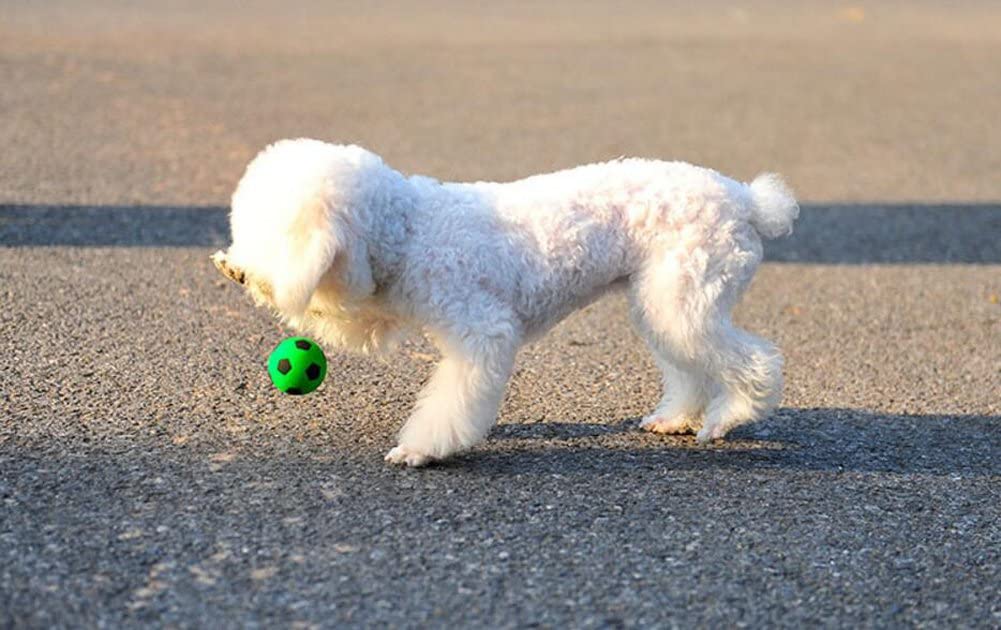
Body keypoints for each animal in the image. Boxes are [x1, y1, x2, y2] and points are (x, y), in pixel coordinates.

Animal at [211, 137, 796, 464]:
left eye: (269, 232)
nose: (237, 267)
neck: (410, 228)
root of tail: (746, 198)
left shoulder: (482, 332)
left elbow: (453, 400)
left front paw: (423, 449)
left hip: (686, 294)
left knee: (755, 361)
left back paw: (726, 418)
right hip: (662, 300)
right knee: (690, 364)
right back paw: (677, 418)